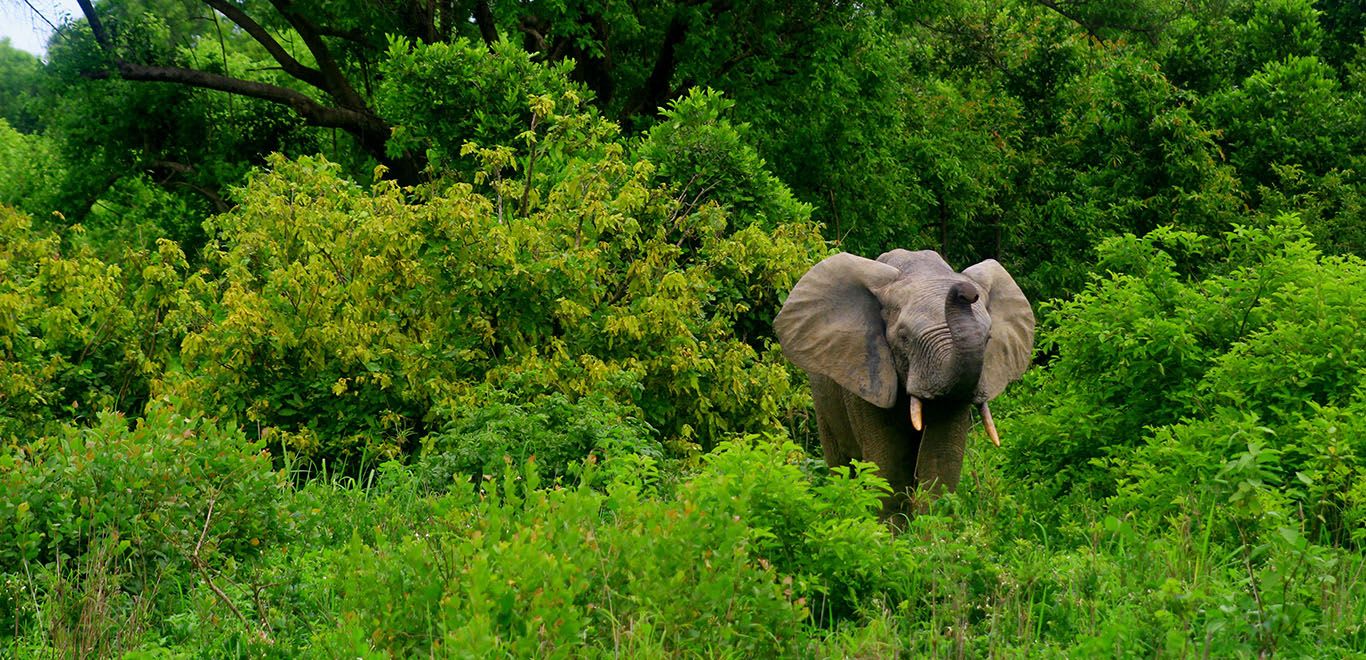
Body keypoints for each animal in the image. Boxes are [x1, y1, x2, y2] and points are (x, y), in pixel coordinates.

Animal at [770, 248, 1032, 521]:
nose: (966, 292)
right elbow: (890, 465)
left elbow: (940, 461)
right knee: (841, 464)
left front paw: (932, 532)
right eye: (904, 338)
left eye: (988, 338)